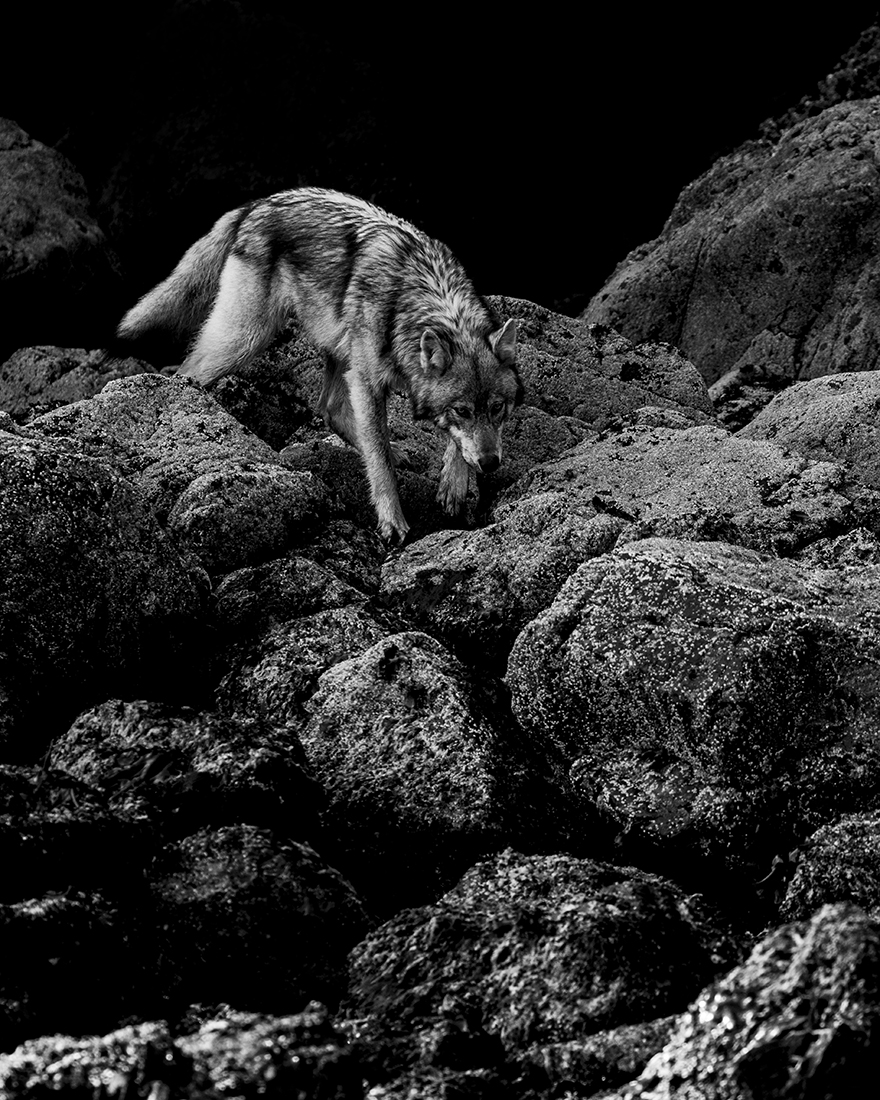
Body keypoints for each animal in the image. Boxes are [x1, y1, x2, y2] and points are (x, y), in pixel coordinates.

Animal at [116, 187, 523, 543]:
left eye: (498, 409)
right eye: (462, 410)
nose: (491, 464)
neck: (423, 295)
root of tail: (257, 203)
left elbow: (447, 445)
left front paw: (454, 483)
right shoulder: (367, 380)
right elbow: (381, 465)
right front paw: (392, 520)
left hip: (333, 345)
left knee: (330, 408)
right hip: (245, 339)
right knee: (186, 372)